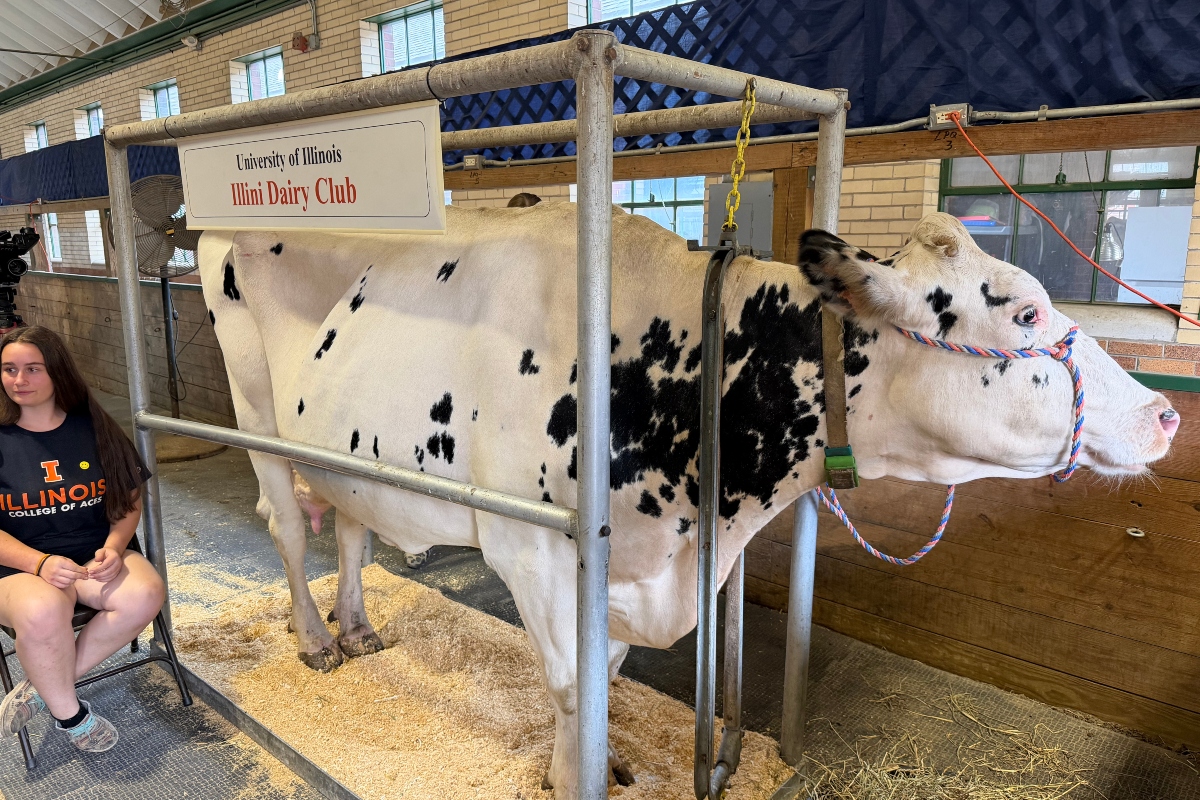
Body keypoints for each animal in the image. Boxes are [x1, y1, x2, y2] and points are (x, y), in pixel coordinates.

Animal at [197, 207, 1178, 798]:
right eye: (1023, 314)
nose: (1166, 414)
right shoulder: (535, 551)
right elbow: (571, 686)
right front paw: (575, 777)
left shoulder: (632, 568)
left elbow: (607, 677)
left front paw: (592, 766)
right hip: (257, 415)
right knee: (290, 529)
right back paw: (317, 640)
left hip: (341, 448)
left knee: (351, 527)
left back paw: (358, 627)